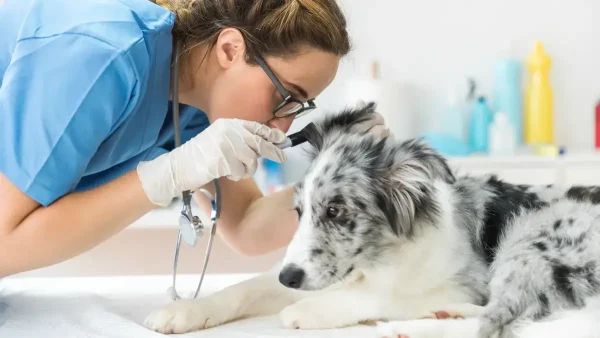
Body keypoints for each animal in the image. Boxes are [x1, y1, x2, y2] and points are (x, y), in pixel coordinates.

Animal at [144, 103, 600, 338]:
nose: (289, 279)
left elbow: (383, 296)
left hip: (529, 239)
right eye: (299, 211)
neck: (378, 260)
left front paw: (310, 310)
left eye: (336, 211)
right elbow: (242, 288)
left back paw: (415, 327)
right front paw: (183, 312)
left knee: (504, 318)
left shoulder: (466, 281)